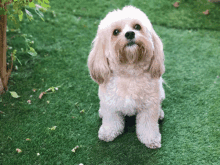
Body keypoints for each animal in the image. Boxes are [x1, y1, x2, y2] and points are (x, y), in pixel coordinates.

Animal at [87, 5, 165, 149]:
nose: (129, 33)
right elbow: (111, 121)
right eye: (116, 31)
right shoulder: (110, 104)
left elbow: (148, 125)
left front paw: (151, 139)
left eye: (137, 26)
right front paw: (108, 132)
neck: (129, 73)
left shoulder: (149, 106)